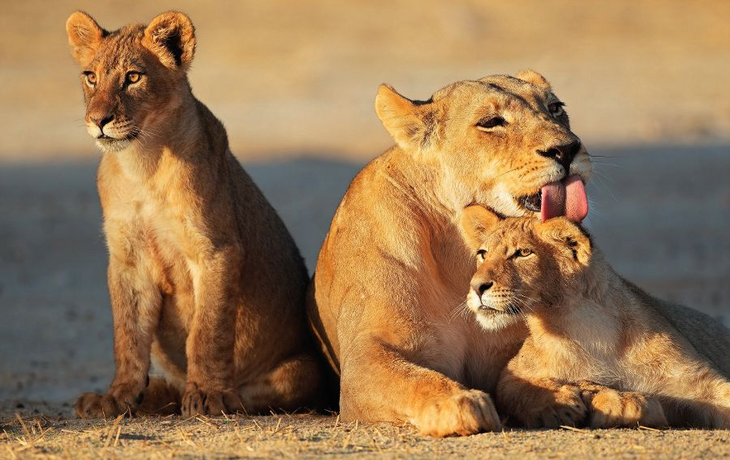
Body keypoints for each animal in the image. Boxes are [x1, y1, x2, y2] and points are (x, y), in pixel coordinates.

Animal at [66, 11, 320, 418]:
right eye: (91, 76)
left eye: (133, 77)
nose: (98, 120)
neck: (143, 163)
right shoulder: (127, 259)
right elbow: (127, 336)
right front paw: (116, 398)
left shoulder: (216, 250)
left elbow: (207, 330)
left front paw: (209, 395)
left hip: (305, 370)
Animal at [307, 71, 594, 436]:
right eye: (491, 122)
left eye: (555, 108)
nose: (568, 149)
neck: (460, 255)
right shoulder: (364, 359)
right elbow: (410, 379)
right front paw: (459, 402)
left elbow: (523, 371)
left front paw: (558, 398)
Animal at [459, 205, 730, 429]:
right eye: (483, 253)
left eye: (524, 253)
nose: (476, 287)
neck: (589, 329)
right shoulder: (513, 371)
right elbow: (520, 388)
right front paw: (559, 404)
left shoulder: (699, 382)